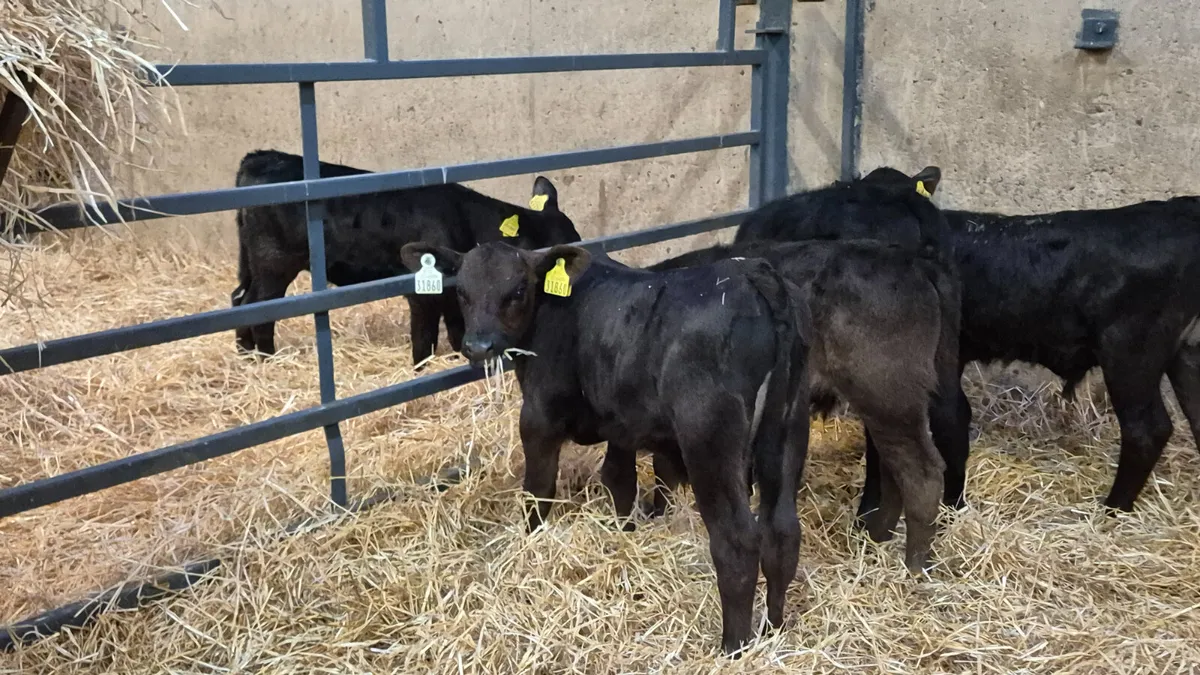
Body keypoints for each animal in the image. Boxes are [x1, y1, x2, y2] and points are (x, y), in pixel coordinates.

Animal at [230, 149, 581, 364]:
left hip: (252, 261)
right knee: (260, 309)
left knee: (240, 300)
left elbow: (456, 334)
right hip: (274, 263)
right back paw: (268, 359)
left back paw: (246, 357)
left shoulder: (454, 298)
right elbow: (424, 341)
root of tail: (259, 158)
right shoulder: (423, 293)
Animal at [399, 240, 810, 655]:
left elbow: (537, 492)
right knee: (782, 532)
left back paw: (733, 647)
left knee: (737, 540)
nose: (478, 346)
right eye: (462, 293)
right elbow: (618, 481)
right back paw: (774, 628)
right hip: (788, 428)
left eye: (516, 291)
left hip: (709, 438)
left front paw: (529, 544)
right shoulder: (622, 424)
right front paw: (624, 534)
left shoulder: (537, 418)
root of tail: (751, 274)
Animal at [649, 238, 962, 574]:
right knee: (893, 467)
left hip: (889, 395)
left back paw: (914, 566)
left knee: (921, 473)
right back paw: (877, 539)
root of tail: (915, 263)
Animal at [740, 165, 1200, 514]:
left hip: (1131, 351)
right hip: (1182, 352)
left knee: (1146, 429)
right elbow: (953, 421)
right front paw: (952, 503)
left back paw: (1112, 509)